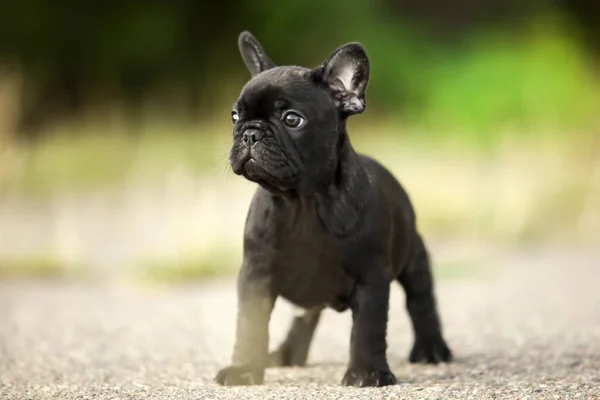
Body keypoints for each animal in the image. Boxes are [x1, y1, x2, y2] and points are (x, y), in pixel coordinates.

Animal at [213, 31, 452, 388]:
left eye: (292, 119)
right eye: (235, 116)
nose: (250, 132)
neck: (301, 202)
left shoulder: (370, 278)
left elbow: (368, 329)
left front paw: (367, 372)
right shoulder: (256, 277)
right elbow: (250, 327)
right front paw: (244, 369)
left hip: (413, 256)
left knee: (421, 300)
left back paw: (432, 348)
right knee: (305, 315)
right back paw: (287, 353)